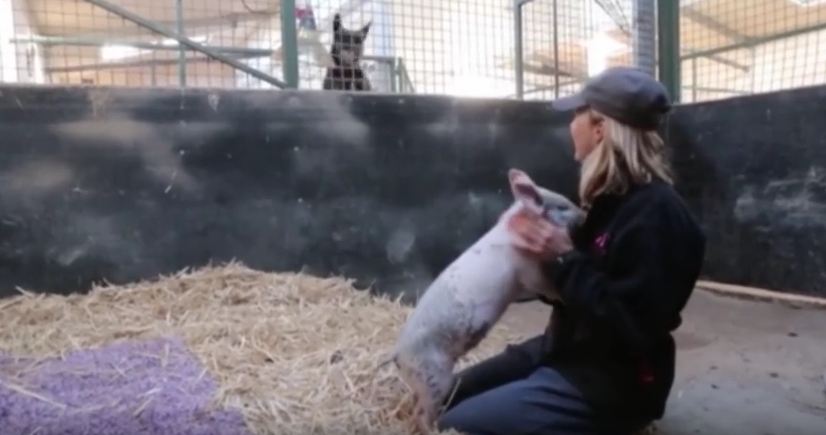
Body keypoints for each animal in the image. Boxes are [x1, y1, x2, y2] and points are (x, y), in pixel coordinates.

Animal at [384, 169, 584, 432]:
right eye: (562, 206)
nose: (584, 214)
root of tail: (398, 355)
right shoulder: (529, 271)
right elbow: (546, 285)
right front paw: (560, 295)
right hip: (434, 378)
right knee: (421, 414)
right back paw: (437, 430)